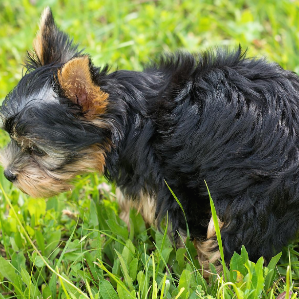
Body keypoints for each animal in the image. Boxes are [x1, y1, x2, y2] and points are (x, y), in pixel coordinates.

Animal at [0, 6, 299, 274]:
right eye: (12, 138)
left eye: (37, 150)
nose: (8, 174)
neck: (131, 119)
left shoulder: (167, 180)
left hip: (255, 195)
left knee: (234, 240)